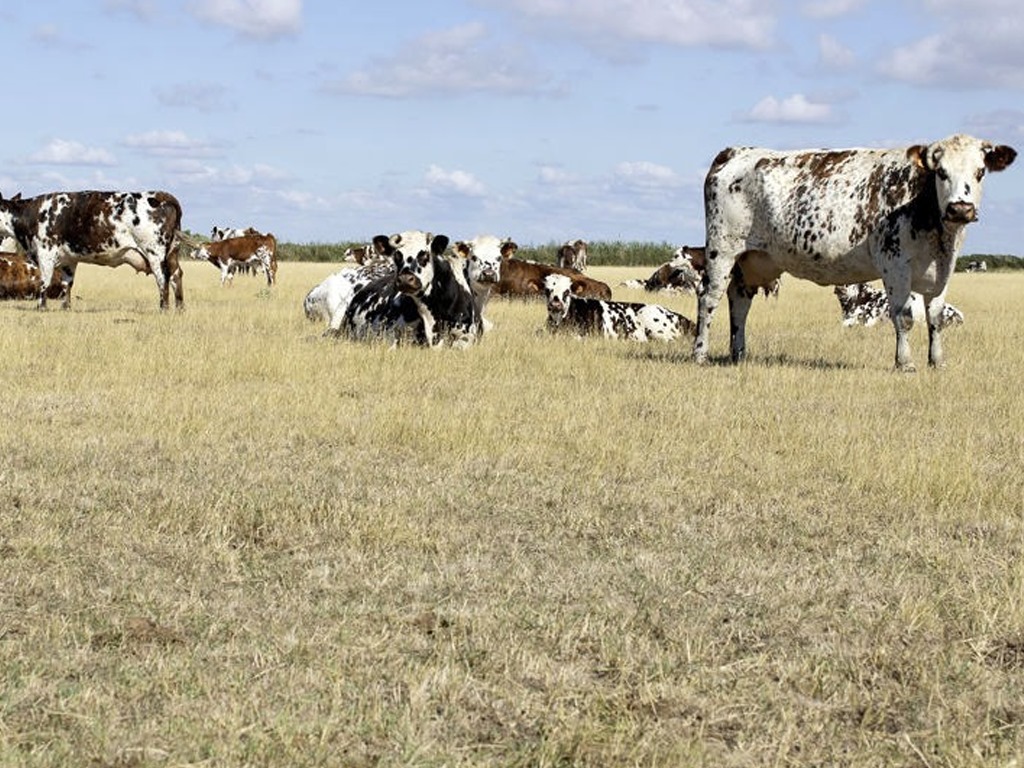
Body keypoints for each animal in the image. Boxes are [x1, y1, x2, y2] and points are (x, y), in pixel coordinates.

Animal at [0, 191, 184, 311]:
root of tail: (159, 195)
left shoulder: (46, 253)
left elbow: (44, 282)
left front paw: (41, 307)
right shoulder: (69, 260)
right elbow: (67, 283)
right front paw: (65, 307)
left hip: (154, 253)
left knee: (163, 279)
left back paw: (164, 308)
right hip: (171, 254)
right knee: (176, 275)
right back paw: (179, 308)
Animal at [696, 135, 1015, 372]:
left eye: (980, 172)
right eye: (941, 172)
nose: (960, 209)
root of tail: (736, 151)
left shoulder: (943, 270)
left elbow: (935, 317)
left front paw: (937, 363)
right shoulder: (895, 266)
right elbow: (904, 317)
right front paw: (905, 363)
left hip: (752, 261)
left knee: (739, 301)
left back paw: (738, 354)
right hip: (722, 250)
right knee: (708, 299)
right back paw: (701, 354)